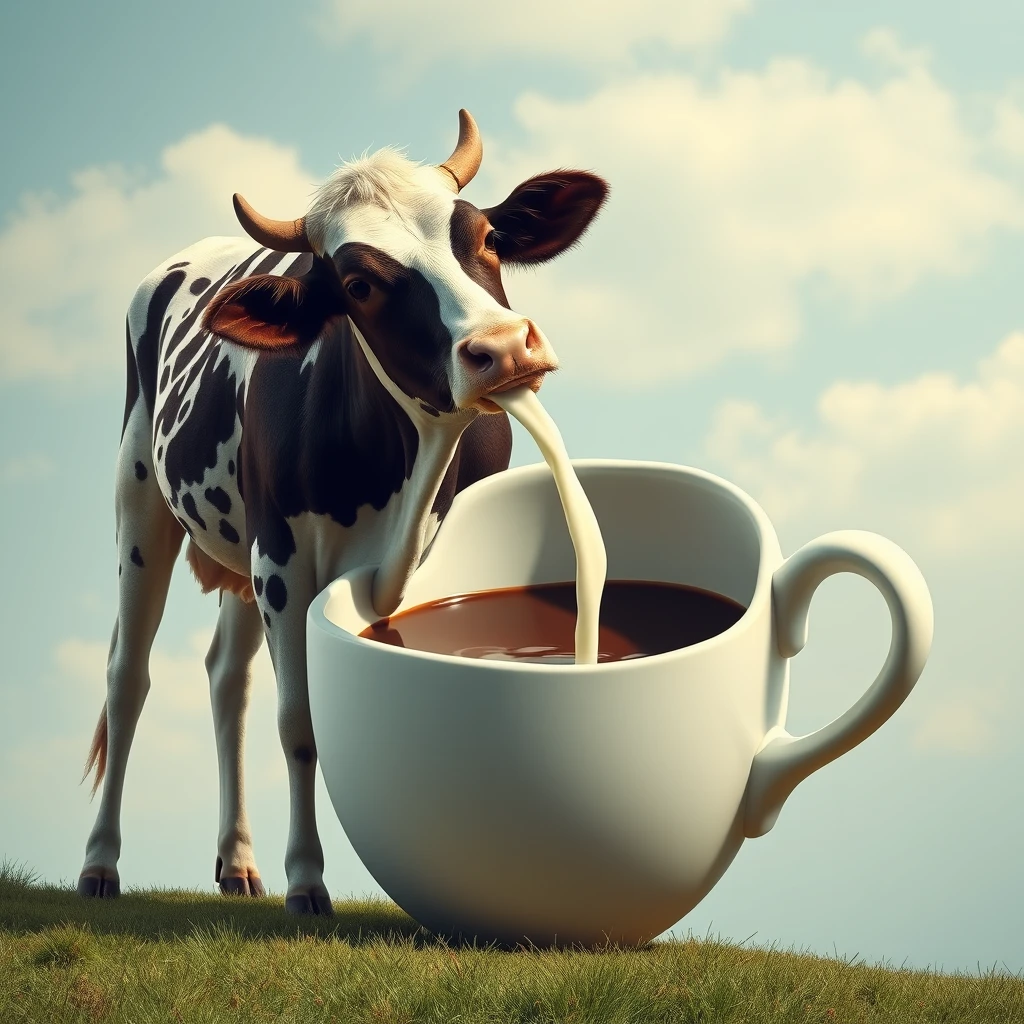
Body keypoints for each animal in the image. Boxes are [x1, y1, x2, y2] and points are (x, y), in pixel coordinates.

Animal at [77, 110, 606, 913]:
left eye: (486, 236)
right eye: (358, 284)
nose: (504, 349)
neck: (411, 466)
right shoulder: (284, 561)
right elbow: (301, 723)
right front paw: (307, 879)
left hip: (238, 552)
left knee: (226, 678)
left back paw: (238, 863)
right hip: (142, 497)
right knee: (127, 677)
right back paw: (101, 864)